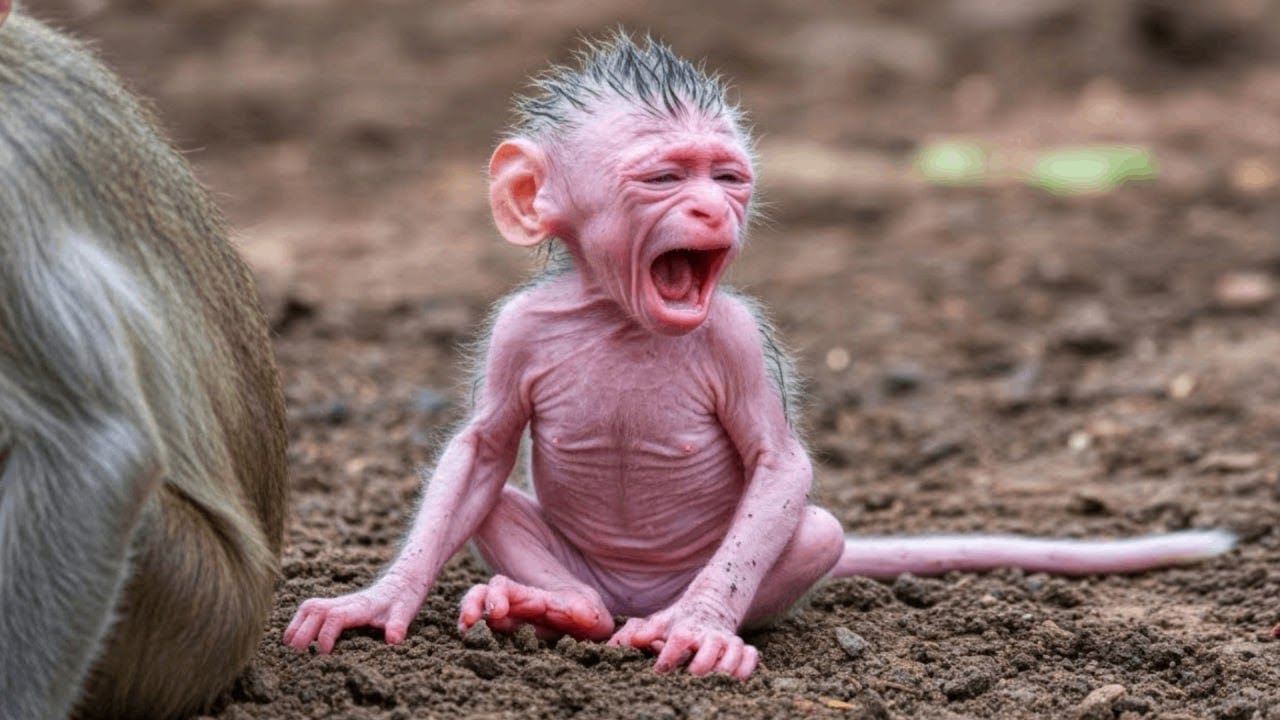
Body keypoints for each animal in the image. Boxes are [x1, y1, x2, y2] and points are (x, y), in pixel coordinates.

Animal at [285, 32, 1235, 679]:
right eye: (666, 178)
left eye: (729, 177)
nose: (714, 212)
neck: (621, 316)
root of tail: (634, 598)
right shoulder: (516, 326)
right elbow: (479, 450)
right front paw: (378, 600)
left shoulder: (739, 338)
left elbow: (780, 464)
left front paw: (703, 628)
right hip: (582, 567)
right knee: (505, 513)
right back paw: (561, 610)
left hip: (753, 562)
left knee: (811, 528)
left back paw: (674, 619)